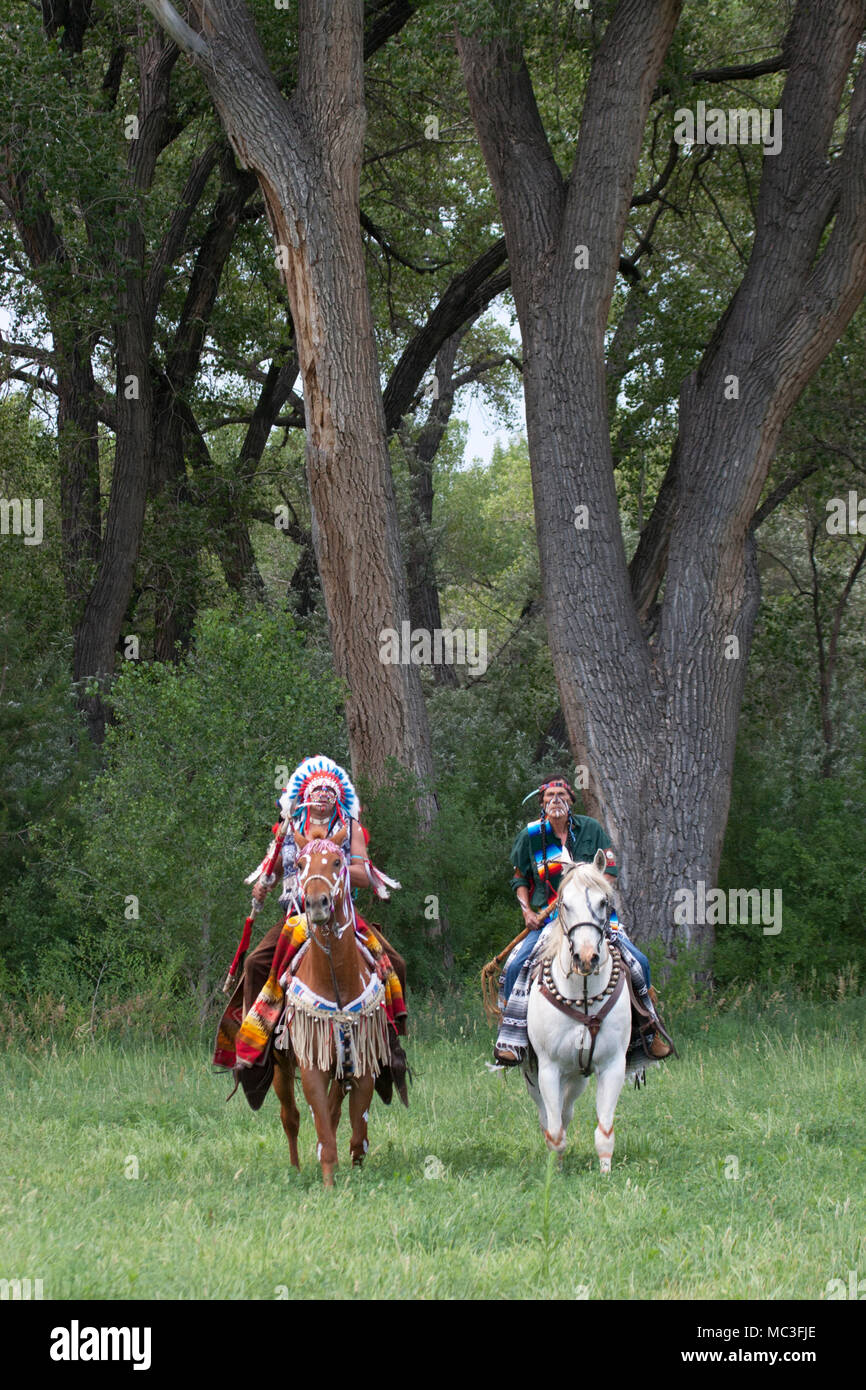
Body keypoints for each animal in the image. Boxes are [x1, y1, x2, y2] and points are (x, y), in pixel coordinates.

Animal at [272, 817, 391, 1189]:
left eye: (338, 862)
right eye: (299, 865)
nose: (317, 904)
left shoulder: (363, 1063)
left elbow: (356, 1129)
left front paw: (356, 1169)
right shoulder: (311, 1065)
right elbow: (323, 1128)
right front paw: (328, 1181)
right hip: (281, 1068)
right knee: (291, 1116)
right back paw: (295, 1169)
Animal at [525, 845, 633, 1173]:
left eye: (603, 902)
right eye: (565, 904)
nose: (586, 958)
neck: (583, 996)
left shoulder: (612, 1065)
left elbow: (604, 1131)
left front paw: (605, 1172)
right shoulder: (548, 1068)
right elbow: (554, 1130)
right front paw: (555, 1171)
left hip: (577, 1076)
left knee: (567, 1109)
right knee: (549, 1115)